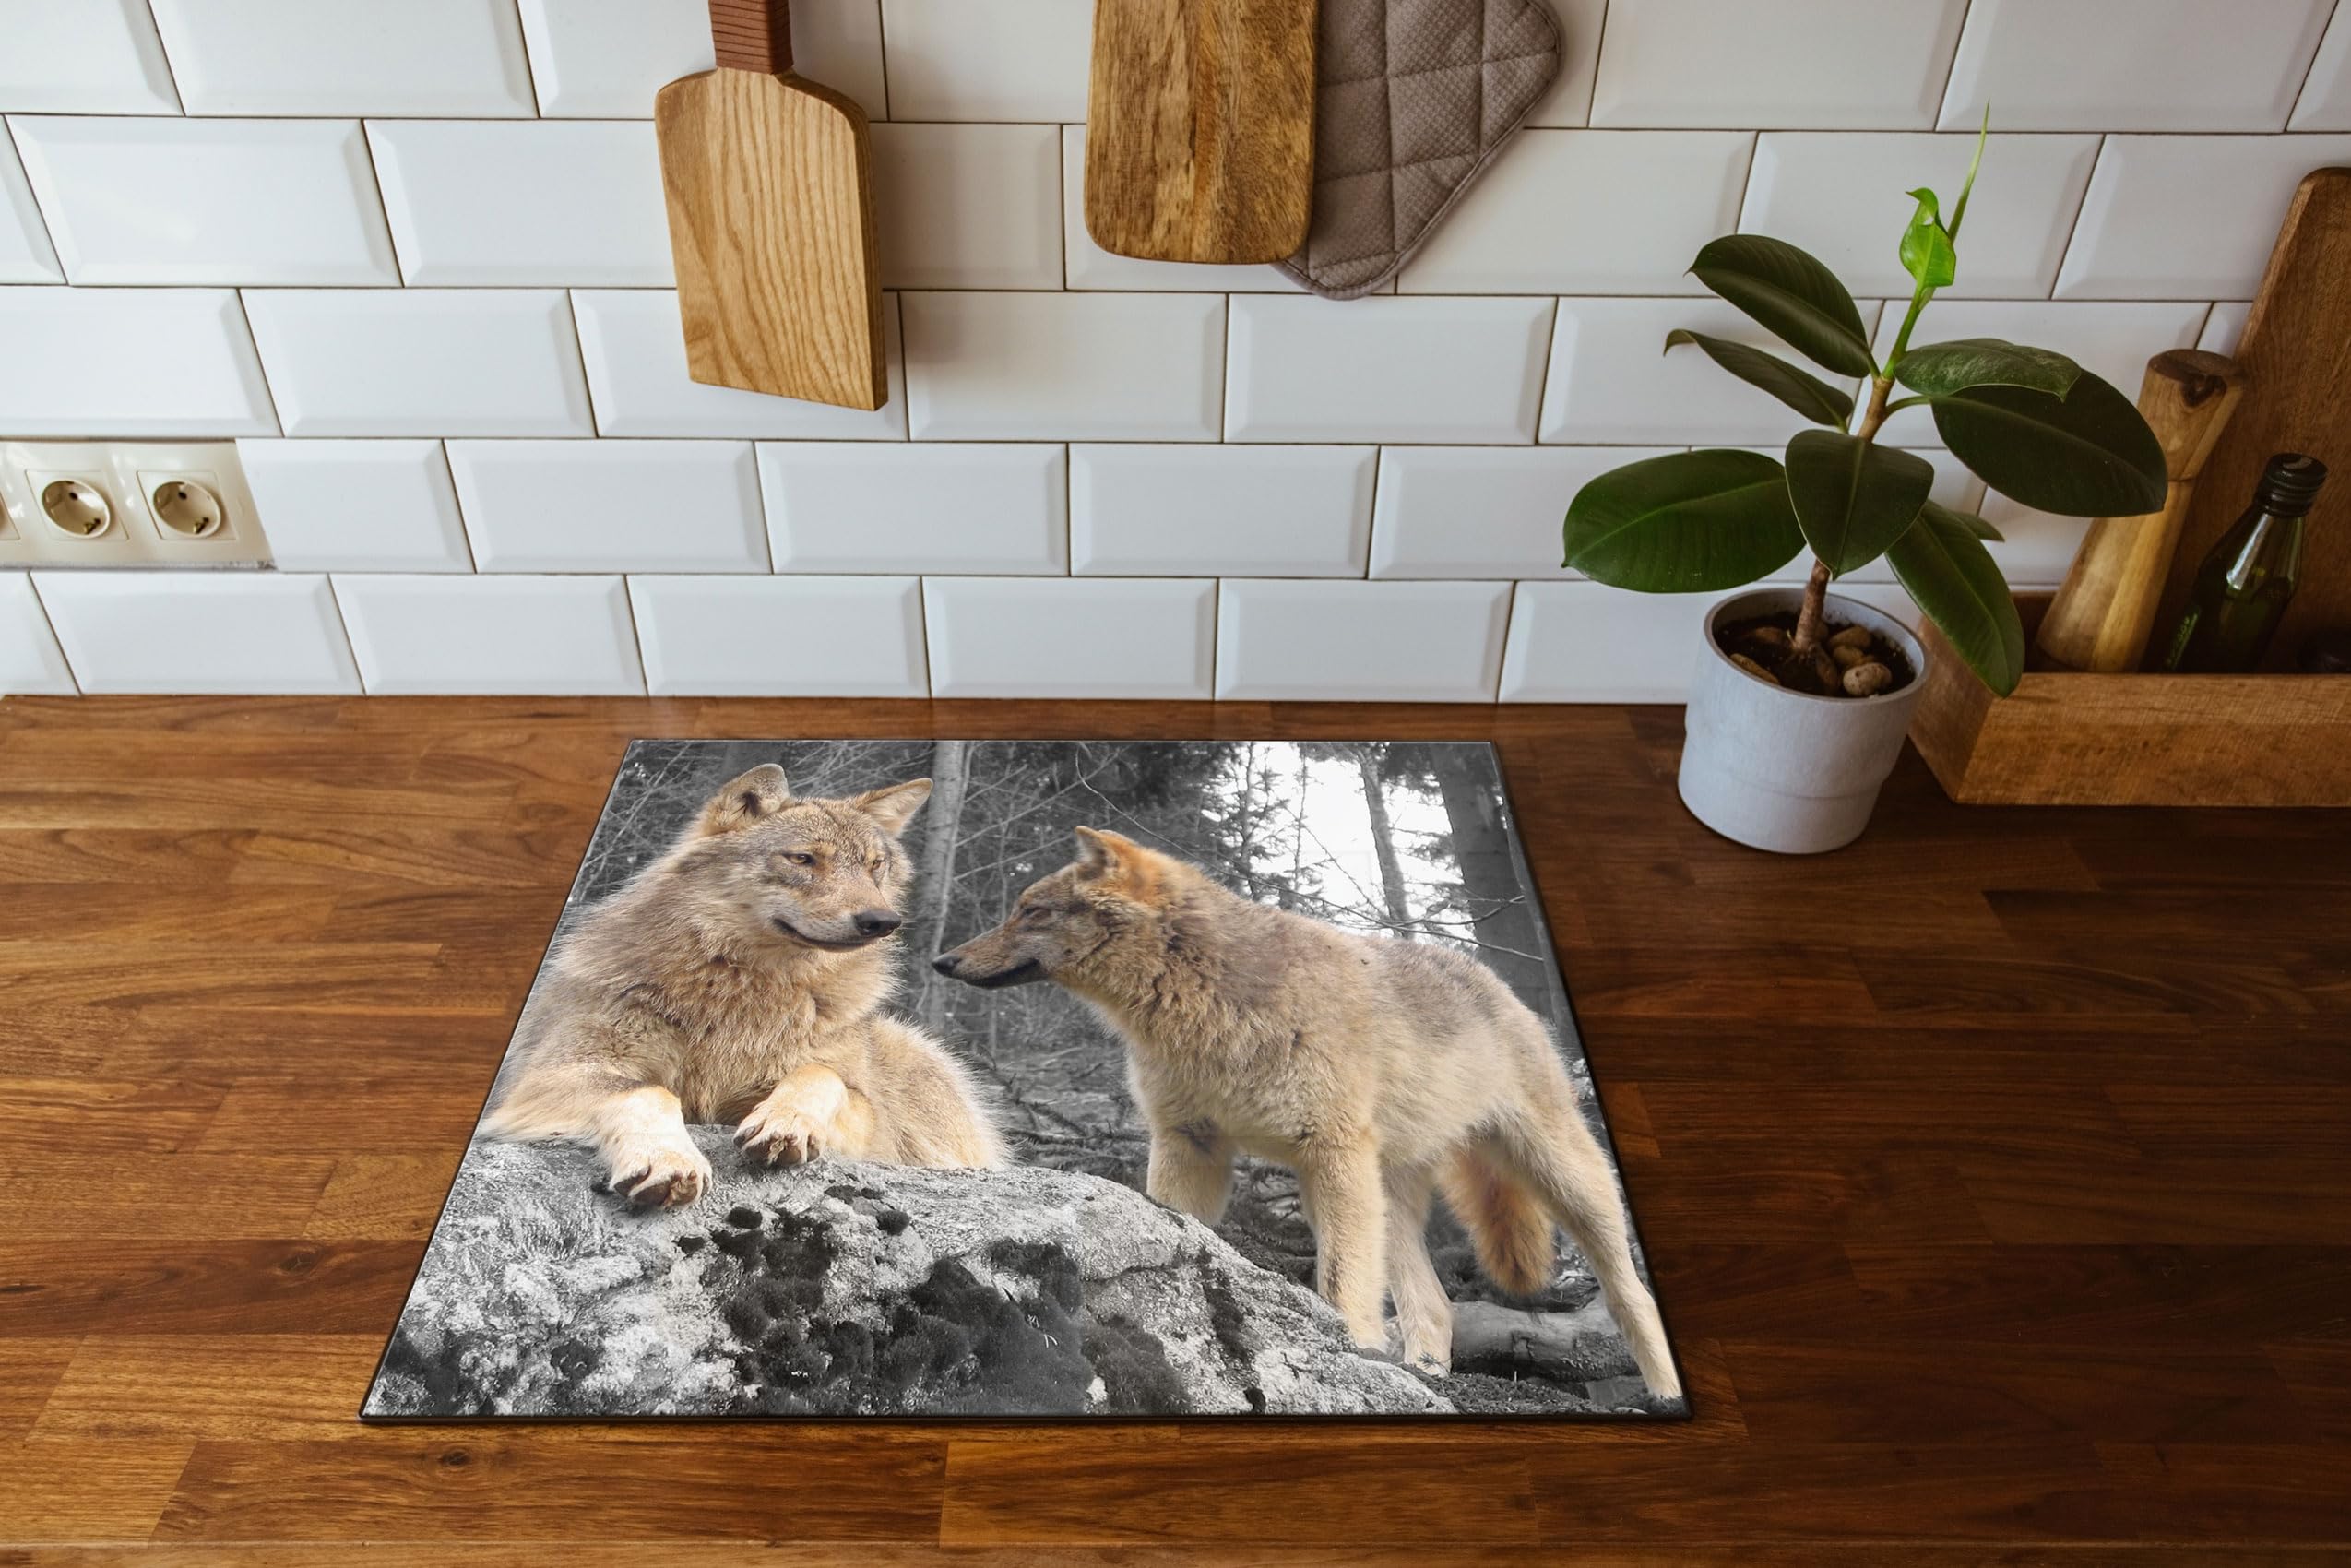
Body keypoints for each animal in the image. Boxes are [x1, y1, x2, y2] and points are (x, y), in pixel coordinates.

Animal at [481, 764, 1005, 1207]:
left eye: (874, 865)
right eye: (804, 859)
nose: (882, 921)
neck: (747, 989)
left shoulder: (870, 1118)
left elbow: (821, 1075)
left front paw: (787, 1123)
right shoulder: (548, 1077)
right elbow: (650, 1092)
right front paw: (668, 1159)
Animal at [934, 827, 1678, 1397]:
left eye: (1032, 912)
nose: (943, 959)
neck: (1202, 1009)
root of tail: (1491, 979)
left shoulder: (1330, 1152)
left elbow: (1342, 1283)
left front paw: (1348, 1356)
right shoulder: (1187, 1145)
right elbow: (1186, 1234)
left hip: (1555, 1183)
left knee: (1628, 1294)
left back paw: (1663, 1392)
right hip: (1383, 1202)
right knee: (1435, 1308)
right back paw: (1421, 1375)